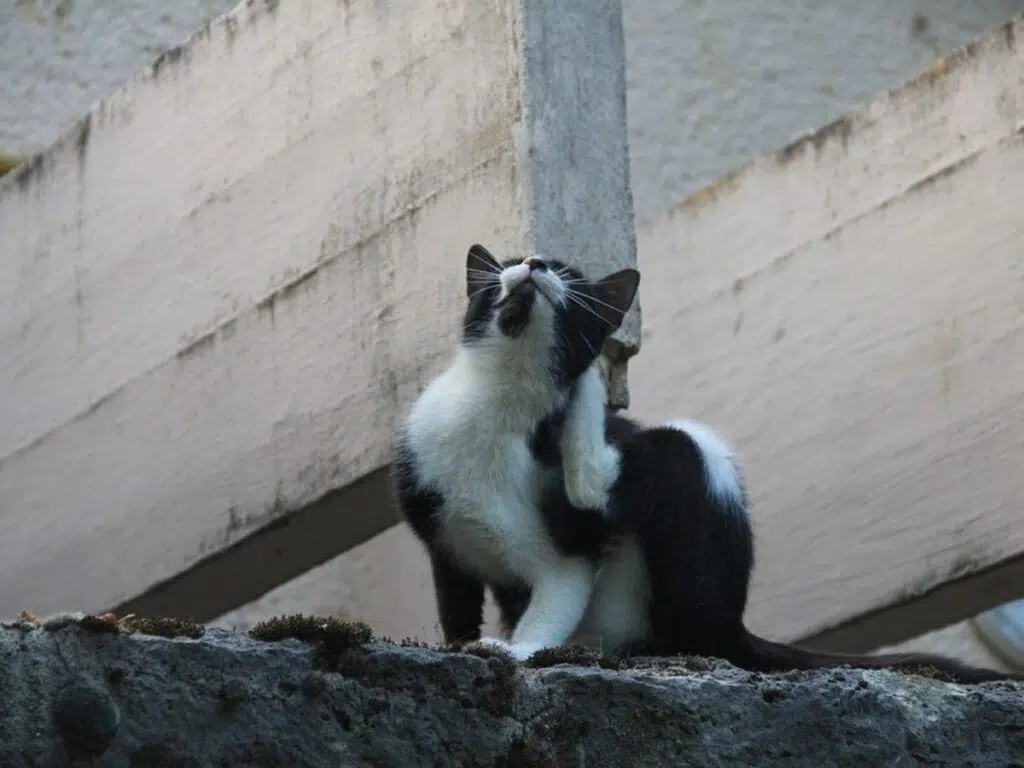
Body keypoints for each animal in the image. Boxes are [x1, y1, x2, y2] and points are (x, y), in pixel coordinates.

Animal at [389, 241, 1015, 684]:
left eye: (568, 273)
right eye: (508, 263)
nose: (533, 263)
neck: (499, 403)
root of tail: (736, 625)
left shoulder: (567, 554)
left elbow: (555, 597)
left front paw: (514, 648)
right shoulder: (442, 534)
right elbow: (457, 604)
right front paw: (464, 643)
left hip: (687, 475)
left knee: (645, 486)